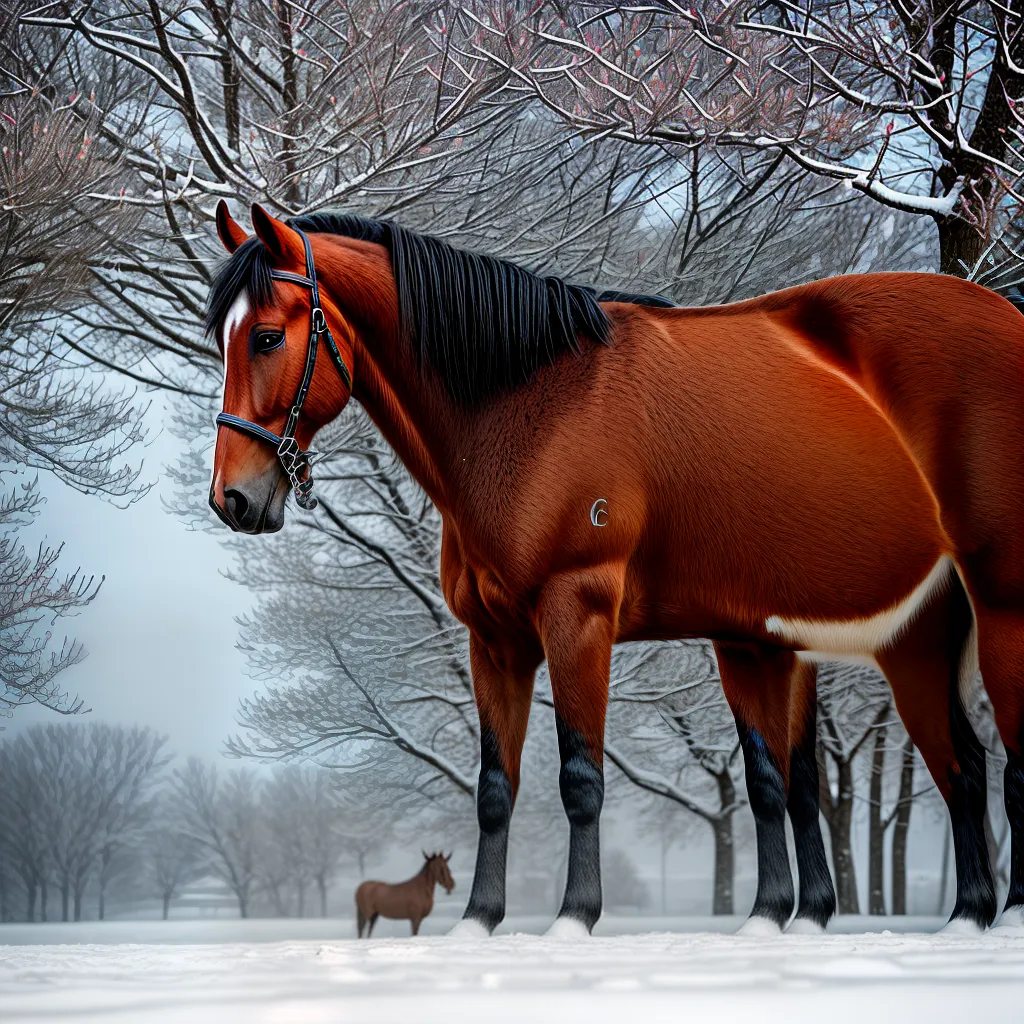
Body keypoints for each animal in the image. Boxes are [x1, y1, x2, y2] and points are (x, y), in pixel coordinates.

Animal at [207, 200, 1024, 938]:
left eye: (269, 337)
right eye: (222, 338)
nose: (233, 498)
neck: (534, 407)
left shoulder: (579, 616)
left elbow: (582, 778)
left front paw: (574, 918)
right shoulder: (499, 642)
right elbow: (499, 787)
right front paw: (478, 923)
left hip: (1002, 609)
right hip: (916, 636)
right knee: (962, 766)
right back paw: (967, 916)